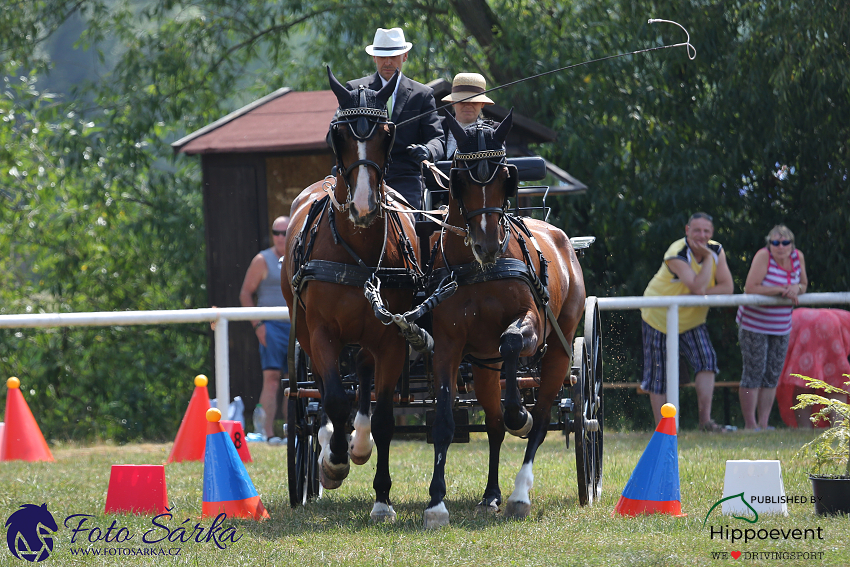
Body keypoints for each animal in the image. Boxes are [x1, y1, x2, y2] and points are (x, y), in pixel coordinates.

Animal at [282, 67, 420, 524]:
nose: (363, 207)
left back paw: (358, 442)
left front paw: (382, 499)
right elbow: (334, 399)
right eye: (337, 134)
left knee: (360, 373)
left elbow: (384, 417)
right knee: (321, 392)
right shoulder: (322, 331)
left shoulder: (393, 337)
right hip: (305, 330)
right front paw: (334, 462)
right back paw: (332, 446)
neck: (357, 249)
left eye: (387, 134)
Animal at [422, 111, 584, 528]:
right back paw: (491, 494)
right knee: (494, 426)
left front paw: (519, 414)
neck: (481, 270)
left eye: (504, 177)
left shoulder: (532, 325)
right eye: (459, 179)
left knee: (542, 419)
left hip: (560, 346)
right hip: (482, 364)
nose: (488, 244)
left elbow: (511, 343)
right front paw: (436, 503)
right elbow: (444, 422)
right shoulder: (448, 344)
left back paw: (519, 493)